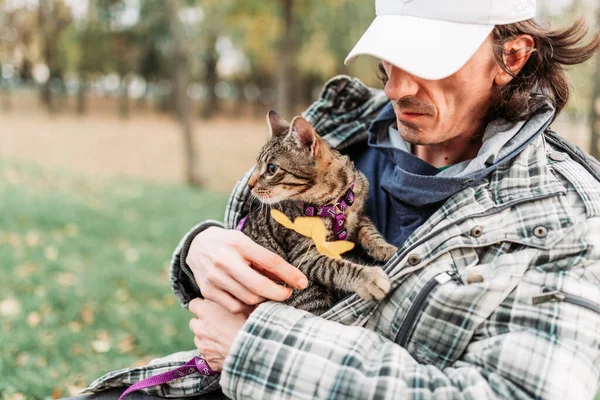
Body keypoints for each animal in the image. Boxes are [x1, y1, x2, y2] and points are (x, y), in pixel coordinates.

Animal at [239, 110, 398, 316]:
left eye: (272, 169)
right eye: (258, 165)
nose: (249, 185)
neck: (333, 202)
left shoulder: (359, 212)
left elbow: (369, 231)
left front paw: (384, 248)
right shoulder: (304, 255)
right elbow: (337, 267)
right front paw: (368, 277)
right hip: (306, 290)